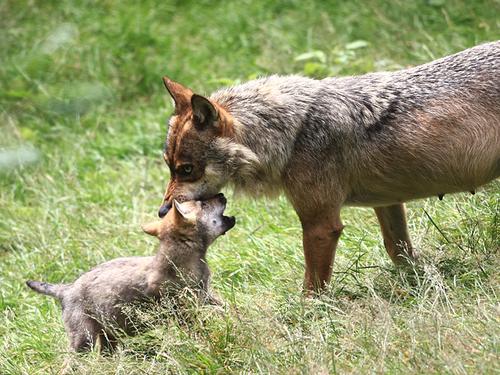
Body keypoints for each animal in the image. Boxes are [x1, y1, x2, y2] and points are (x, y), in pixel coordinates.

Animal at [158, 41, 498, 294]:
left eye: (186, 169)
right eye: (169, 167)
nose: (163, 211)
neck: (291, 132)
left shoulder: (321, 224)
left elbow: (312, 287)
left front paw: (306, 318)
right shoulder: (387, 202)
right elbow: (398, 251)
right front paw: (419, 282)